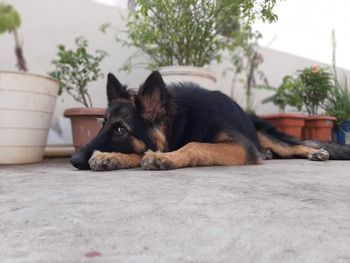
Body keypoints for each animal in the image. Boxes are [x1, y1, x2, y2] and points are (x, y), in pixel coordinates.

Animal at [69, 71, 350, 171]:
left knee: (296, 145)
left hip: (263, 135)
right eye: (102, 124)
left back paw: (317, 153)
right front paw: (111, 157)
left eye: (120, 129)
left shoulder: (239, 146)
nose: (73, 159)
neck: (179, 123)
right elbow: (142, 153)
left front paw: (165, 159)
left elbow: (195, 145)